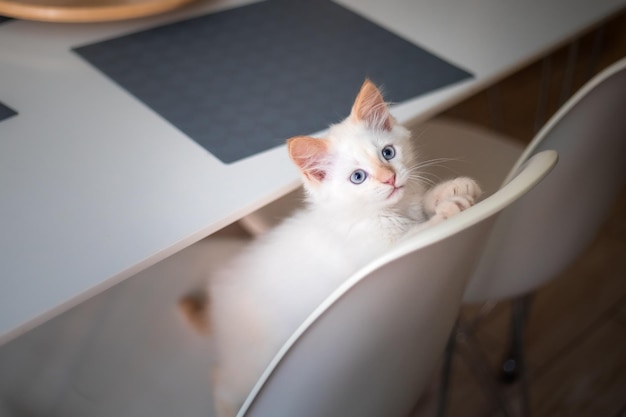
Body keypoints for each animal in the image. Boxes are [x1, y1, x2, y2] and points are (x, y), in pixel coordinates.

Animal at [202, 79, 480, 414]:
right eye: (357, 177)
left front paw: (451, 189)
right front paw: (449, 208)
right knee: (220, 380)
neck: (382, 212)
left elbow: (422, 202)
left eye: (388, 153)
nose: (389, 179)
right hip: (253, 362)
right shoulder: (379, 257)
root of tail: (218, 287)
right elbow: (420, 231)